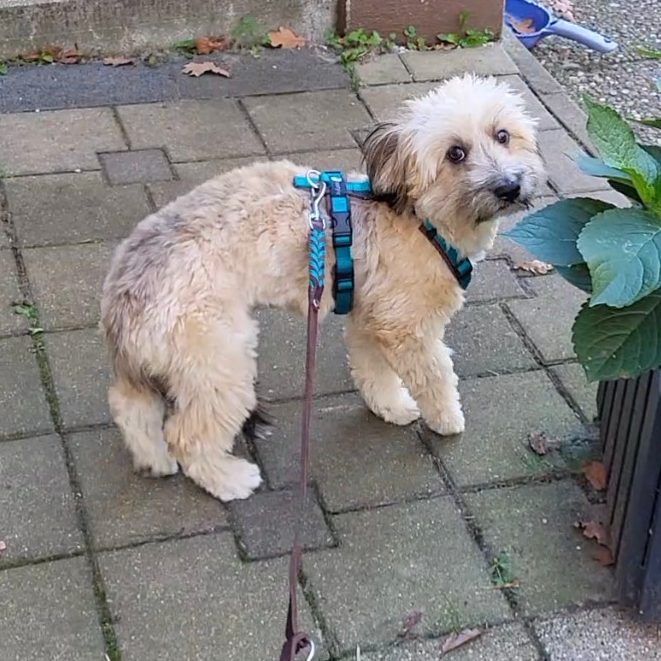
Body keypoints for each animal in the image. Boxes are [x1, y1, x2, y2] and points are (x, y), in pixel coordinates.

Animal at [100, 74, 545, 501]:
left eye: (503, 135)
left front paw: (392, 406)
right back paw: (228, 480)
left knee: (128, 405)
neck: (417, 217)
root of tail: (125, 285)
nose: (508, 186)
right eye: (455, 153)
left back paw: (153, 459)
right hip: (221, 362)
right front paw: (447, 419)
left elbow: (374, 373)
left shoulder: (371, 318)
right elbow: (435, 376)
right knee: (186, 434)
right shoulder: (407, 330)